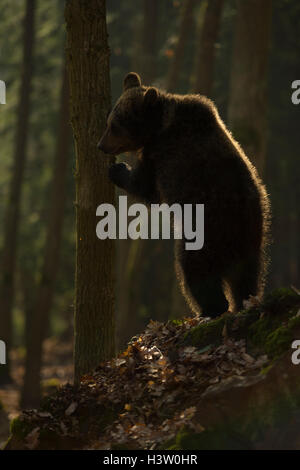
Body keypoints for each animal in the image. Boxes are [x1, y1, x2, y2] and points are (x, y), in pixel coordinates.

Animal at [97, 71, 270, 318]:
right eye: (108, 122)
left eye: (115, 126)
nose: (101, 145)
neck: (159, 128)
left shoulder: (162, 156)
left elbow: (146, 188)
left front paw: (118, 170)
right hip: (254, 237)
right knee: (248, 277)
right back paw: (243, 302)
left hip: (204, 231)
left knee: (195, 271)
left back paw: (209, 309)